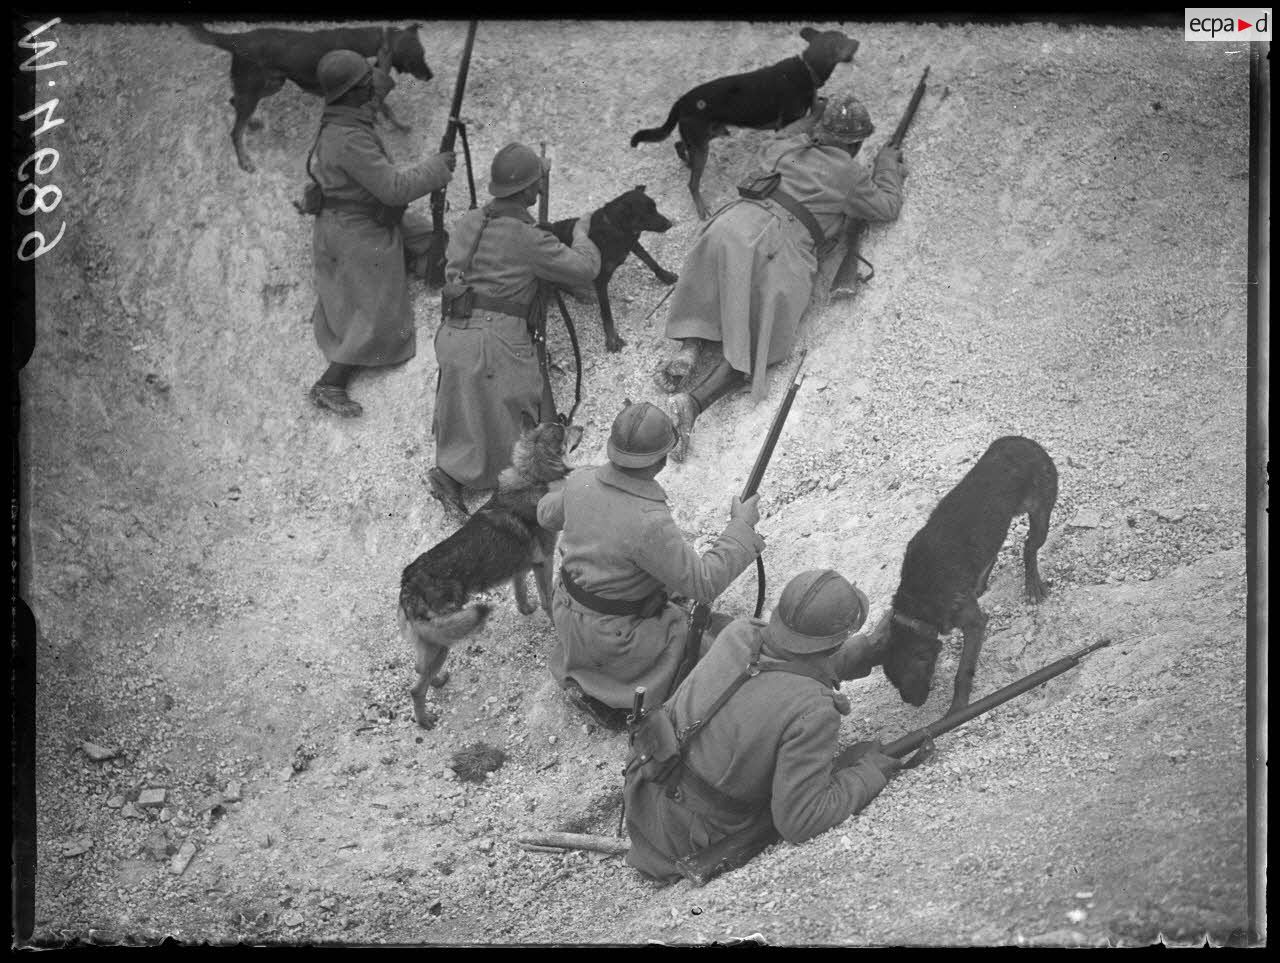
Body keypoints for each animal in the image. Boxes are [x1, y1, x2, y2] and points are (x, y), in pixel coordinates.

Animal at [186, 22, 435, 172]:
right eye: (419, 56)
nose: (431, 76)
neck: (378, 43)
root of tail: (238, 40)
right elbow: (383, 112)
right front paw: (396, 132)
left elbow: (386, 109)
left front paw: (400, 126)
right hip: (254, 89)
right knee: (235, 131)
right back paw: (244, 159)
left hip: (272, 84)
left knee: (234, 103)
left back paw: (253, 123)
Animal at [394, 414, 586, 727]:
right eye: (563, 430)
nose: (578, 425)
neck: (530, 477)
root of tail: (407, 585)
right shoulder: (543, 562)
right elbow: (547, 600)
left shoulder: (521, 567)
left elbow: (521, 593)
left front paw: (526, 609)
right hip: (443, 641)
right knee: (415, 688)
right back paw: (425, 720)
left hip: (433, 641)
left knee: (418, 669)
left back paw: (438, 681)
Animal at [545, 184, 680, 353]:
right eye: (646, 213)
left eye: (655, 208)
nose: (669, 224)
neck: (616, 228)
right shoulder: (600, 280)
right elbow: (606, 312)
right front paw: (612, 338)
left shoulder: (632, 244)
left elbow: (650, 260)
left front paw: (665, 275)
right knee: (557, 284)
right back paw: (580, 294)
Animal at [629, 26, 860, 224]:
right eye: (845, 39)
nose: (858, 41)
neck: (808, 68)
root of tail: (681, 102)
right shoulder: (786, 126)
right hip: (702, 144)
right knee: (692, 183)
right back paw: (701, 208)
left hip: (708, 135)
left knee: (678, 144)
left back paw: (686, 161)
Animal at [880, 435, 1059, 717]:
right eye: (893, 680)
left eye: (912, 677)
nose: (912, 702)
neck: (916, 602)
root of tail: (1022, 440)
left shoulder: (974, 624)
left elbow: (963, 672)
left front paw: (958, 710)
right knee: (995, 553)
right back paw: (981, 583)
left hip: (1041, 512)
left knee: (1029, 548)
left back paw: (1032, 585)